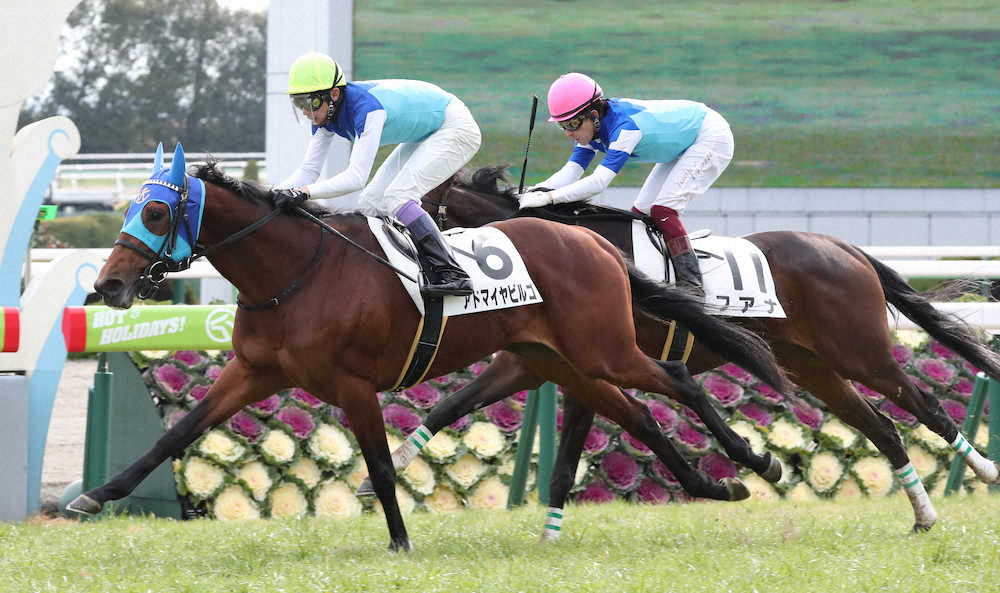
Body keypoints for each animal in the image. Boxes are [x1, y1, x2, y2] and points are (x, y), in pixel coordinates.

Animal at [66, 146, 790, 551]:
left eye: (155, 213)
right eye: (132, 208)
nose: (108, 284)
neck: (293, 273)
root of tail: (594, 242)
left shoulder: (353, 385)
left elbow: (383, 467)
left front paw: (400, 541)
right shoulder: (253, 371)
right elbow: (177, 433)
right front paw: (95, 496)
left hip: (601, 349)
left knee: (676, 379)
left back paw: (757, 462)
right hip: (557, 359)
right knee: (637, 413)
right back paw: (715, 485)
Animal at [362, 165, 1000, 537]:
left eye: (427, 214)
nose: (423, 271)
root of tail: (844, 247)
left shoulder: (591, 361)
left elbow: (579, 448)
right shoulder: (531, 361)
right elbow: (456, 408)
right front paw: (384, 476)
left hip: (860, 351)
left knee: (924, 405)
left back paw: (984, 471)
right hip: (813, 366)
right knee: (884, 428)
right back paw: (924, 515)